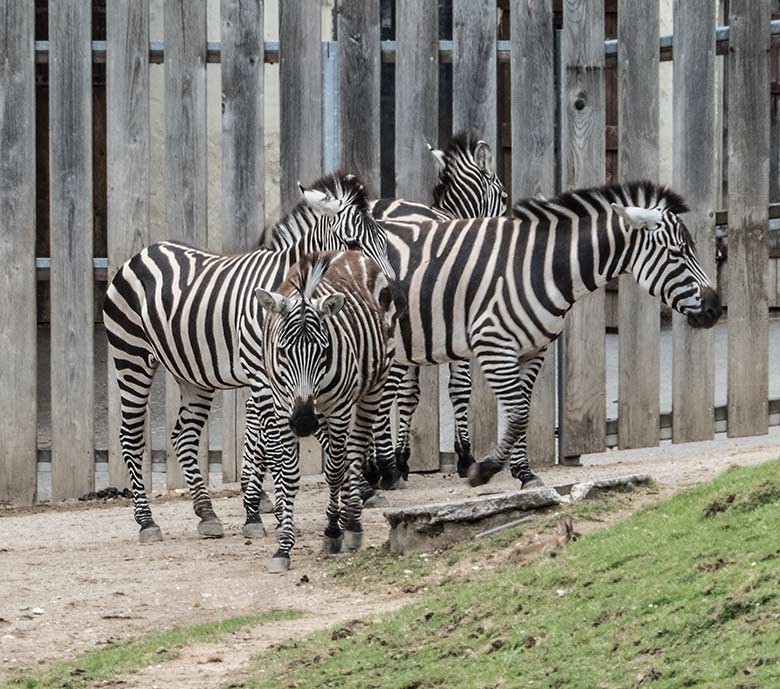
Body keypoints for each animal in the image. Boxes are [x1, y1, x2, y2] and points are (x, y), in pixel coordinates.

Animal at [102, 173, 396, 544]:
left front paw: (257, 508)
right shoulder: (264, 375)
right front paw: (271, 510)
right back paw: (147, 522)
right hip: (132, 357)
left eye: (384, 243)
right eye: (353, 243)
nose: (390, 295)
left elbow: (264, 440)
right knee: (130, 436)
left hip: (192, 374)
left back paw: (207, 513)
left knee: (184, 436)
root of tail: (143, 252)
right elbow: (271, 441)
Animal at [256, 251, 400, 568]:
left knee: (354, 452)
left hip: (371, 389)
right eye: (282, 351)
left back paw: (352, 524)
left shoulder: (339, 407)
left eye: (323, 351)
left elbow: (334, 470)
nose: (303, 423)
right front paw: (283, 548)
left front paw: (334, 530)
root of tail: (349, 252)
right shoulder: (282, 407)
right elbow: (288, 476)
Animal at [374, 180, 724, 486]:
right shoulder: (492, 346)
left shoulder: (534, 350)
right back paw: (382, 475)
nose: (715, 309)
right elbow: (516, 412)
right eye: (677, 252)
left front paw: (524, 473)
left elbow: (523, 411)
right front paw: (484, 469)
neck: (540, 267)